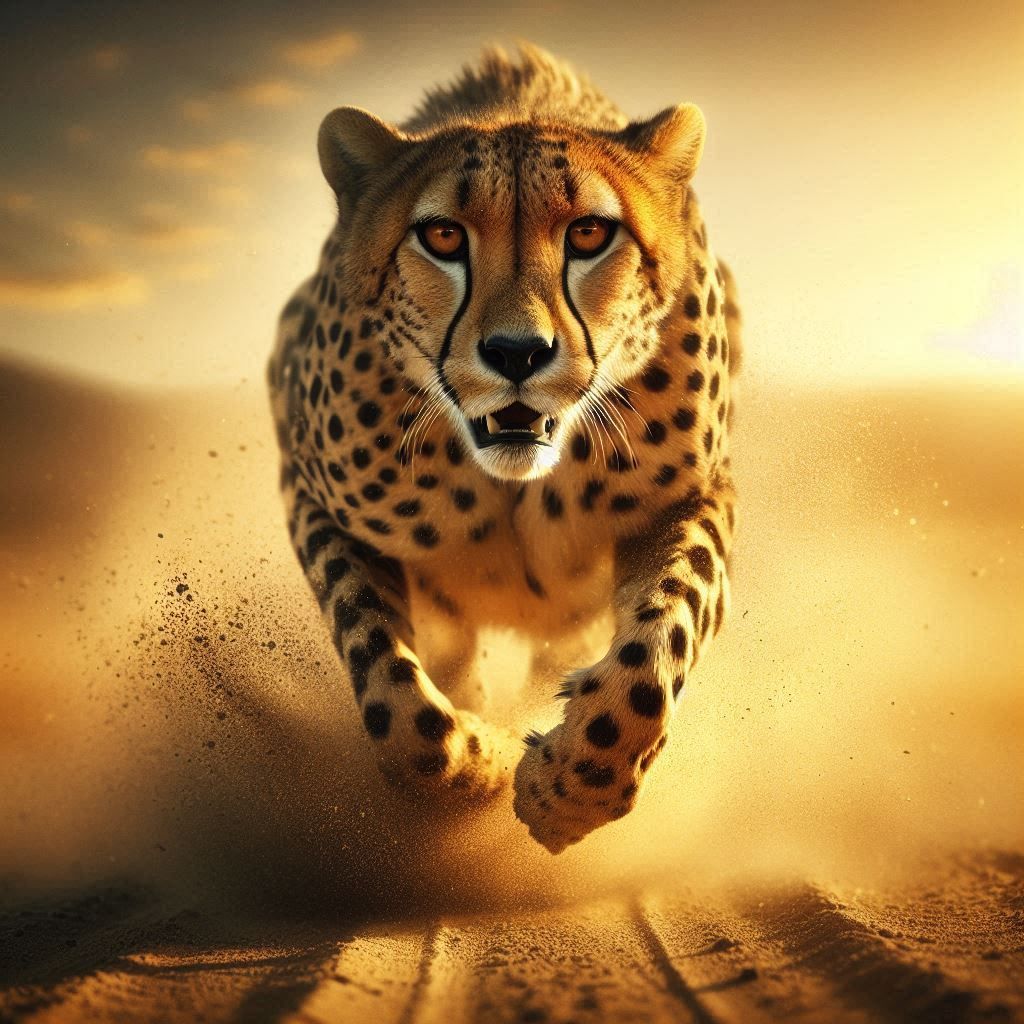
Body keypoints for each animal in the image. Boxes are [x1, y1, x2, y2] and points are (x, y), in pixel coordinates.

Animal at [267, 44, 742, 854]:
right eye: (443, 237)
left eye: (589, 234)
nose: (517, 352)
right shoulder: (318, 500)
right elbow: (388, 691)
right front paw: (477, 762)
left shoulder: (689, 497)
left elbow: (656, 652)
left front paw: (568, 790)